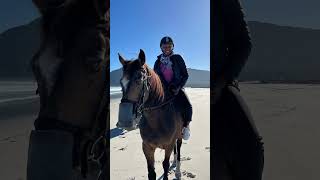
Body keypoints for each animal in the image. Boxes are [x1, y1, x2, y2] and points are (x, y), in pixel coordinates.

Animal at [116, 49, 184, 180]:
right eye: (121, 82)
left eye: (139, 79)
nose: (124, 122)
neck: (156, 122)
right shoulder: (147, 147)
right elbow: (151, 172)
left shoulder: (168, 145)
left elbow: (165, 165)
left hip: (179, 136)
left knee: (178, 149)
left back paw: (178, 171)